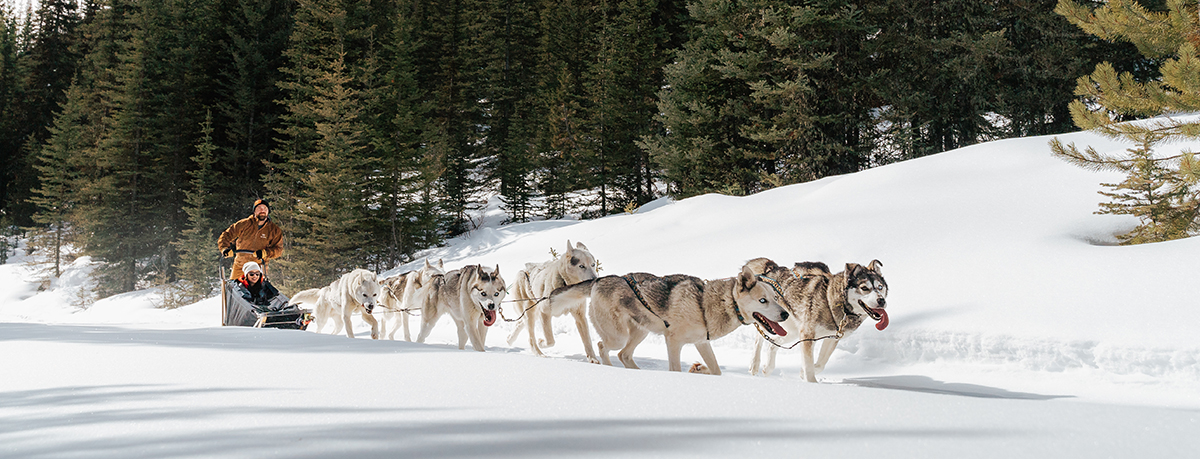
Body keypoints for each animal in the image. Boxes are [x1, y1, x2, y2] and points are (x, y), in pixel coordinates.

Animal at [542, 259, 787, 374]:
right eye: (763, 301)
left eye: (776, 297)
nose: (785, 314)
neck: (704, 303)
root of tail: (599, 280)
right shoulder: (674, 342)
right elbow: (676, 369)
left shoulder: (701, 343)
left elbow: (716, 370)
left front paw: (699, 370)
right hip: (618, 336)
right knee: (603, 347)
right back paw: (612, 368)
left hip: (640, 333)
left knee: (624, 355)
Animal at [748, 259, 892, 382]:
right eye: (864, 288)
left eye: (880, 287)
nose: (881, 300)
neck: (833, 302)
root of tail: (773, 269)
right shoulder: (807, 335)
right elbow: (809, 365)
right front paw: (812, 383)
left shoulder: (832, 338)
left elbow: (820, 363)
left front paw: (802, 373)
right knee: (759, 338)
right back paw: (754, 365)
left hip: (791, 330)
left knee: (773, 343)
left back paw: (768, 368)